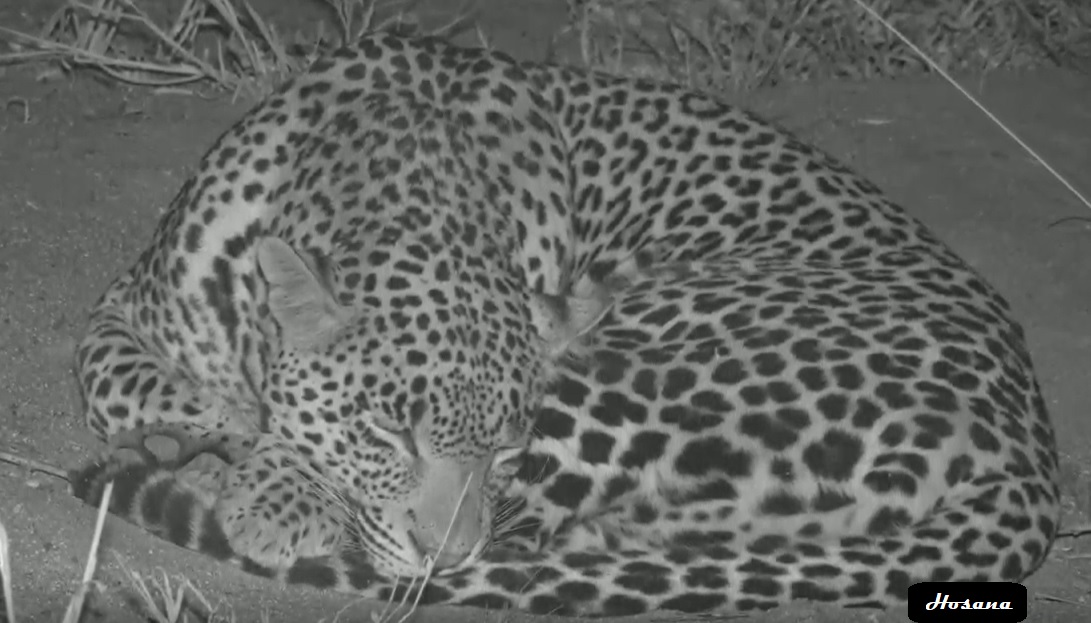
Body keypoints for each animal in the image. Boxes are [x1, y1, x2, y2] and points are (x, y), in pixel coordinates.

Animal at [69, 31, 1060, 617]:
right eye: (390, 430)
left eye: (503, 449)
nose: (443, 555)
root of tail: (1029, 452)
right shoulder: (118, 312)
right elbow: (130, 381)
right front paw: (224, 432)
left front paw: (272, 485)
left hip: (629, 366)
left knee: (541, 531)